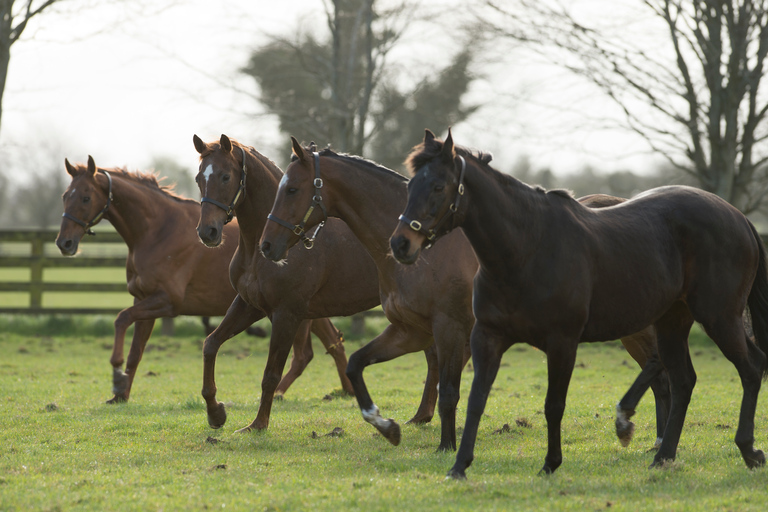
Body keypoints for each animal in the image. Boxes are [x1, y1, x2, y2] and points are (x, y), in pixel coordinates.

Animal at [56, 156, 352, 404]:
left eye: (85, 198)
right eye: (65, 196)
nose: (64, 243)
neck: (158, 231)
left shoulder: (166, 302)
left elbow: (120, 319)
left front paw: (117, 375)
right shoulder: (144, 301)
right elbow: (135, 352)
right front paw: (120, 393)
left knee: (306, 354)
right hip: (309, 310)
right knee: (330, 345)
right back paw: (345, 391)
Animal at [192, 134, 390, 434]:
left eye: (226, 176)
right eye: (198, 178)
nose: (208, 232)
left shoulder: (286, 313)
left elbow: (270, 374)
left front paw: (258, 424)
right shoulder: (249, 305)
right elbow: (211, 344)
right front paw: (216, 413)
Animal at [255, 137, 668, 452]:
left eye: (292, 189)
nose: (267, 245)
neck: (427, 251)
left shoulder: (449, 329)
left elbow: (449, 391)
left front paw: (446, 446)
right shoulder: (410, 332)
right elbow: (357, 364)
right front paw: (388, 427)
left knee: (662, 374)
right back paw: (658, 445)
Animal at [390, 130, 768, 478]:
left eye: (439, 186)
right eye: (411, 186)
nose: (400, 244)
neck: (526, 249)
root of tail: (739, 218)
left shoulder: (562, 342)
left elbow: (553, 405)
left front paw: (551, 463)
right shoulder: (487, 337)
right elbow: (476, 400)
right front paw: (459, 466)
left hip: (719, 317)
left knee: (750, 369)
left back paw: (748, 450)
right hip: (671, 322)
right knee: (684, 381)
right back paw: (663, 456)